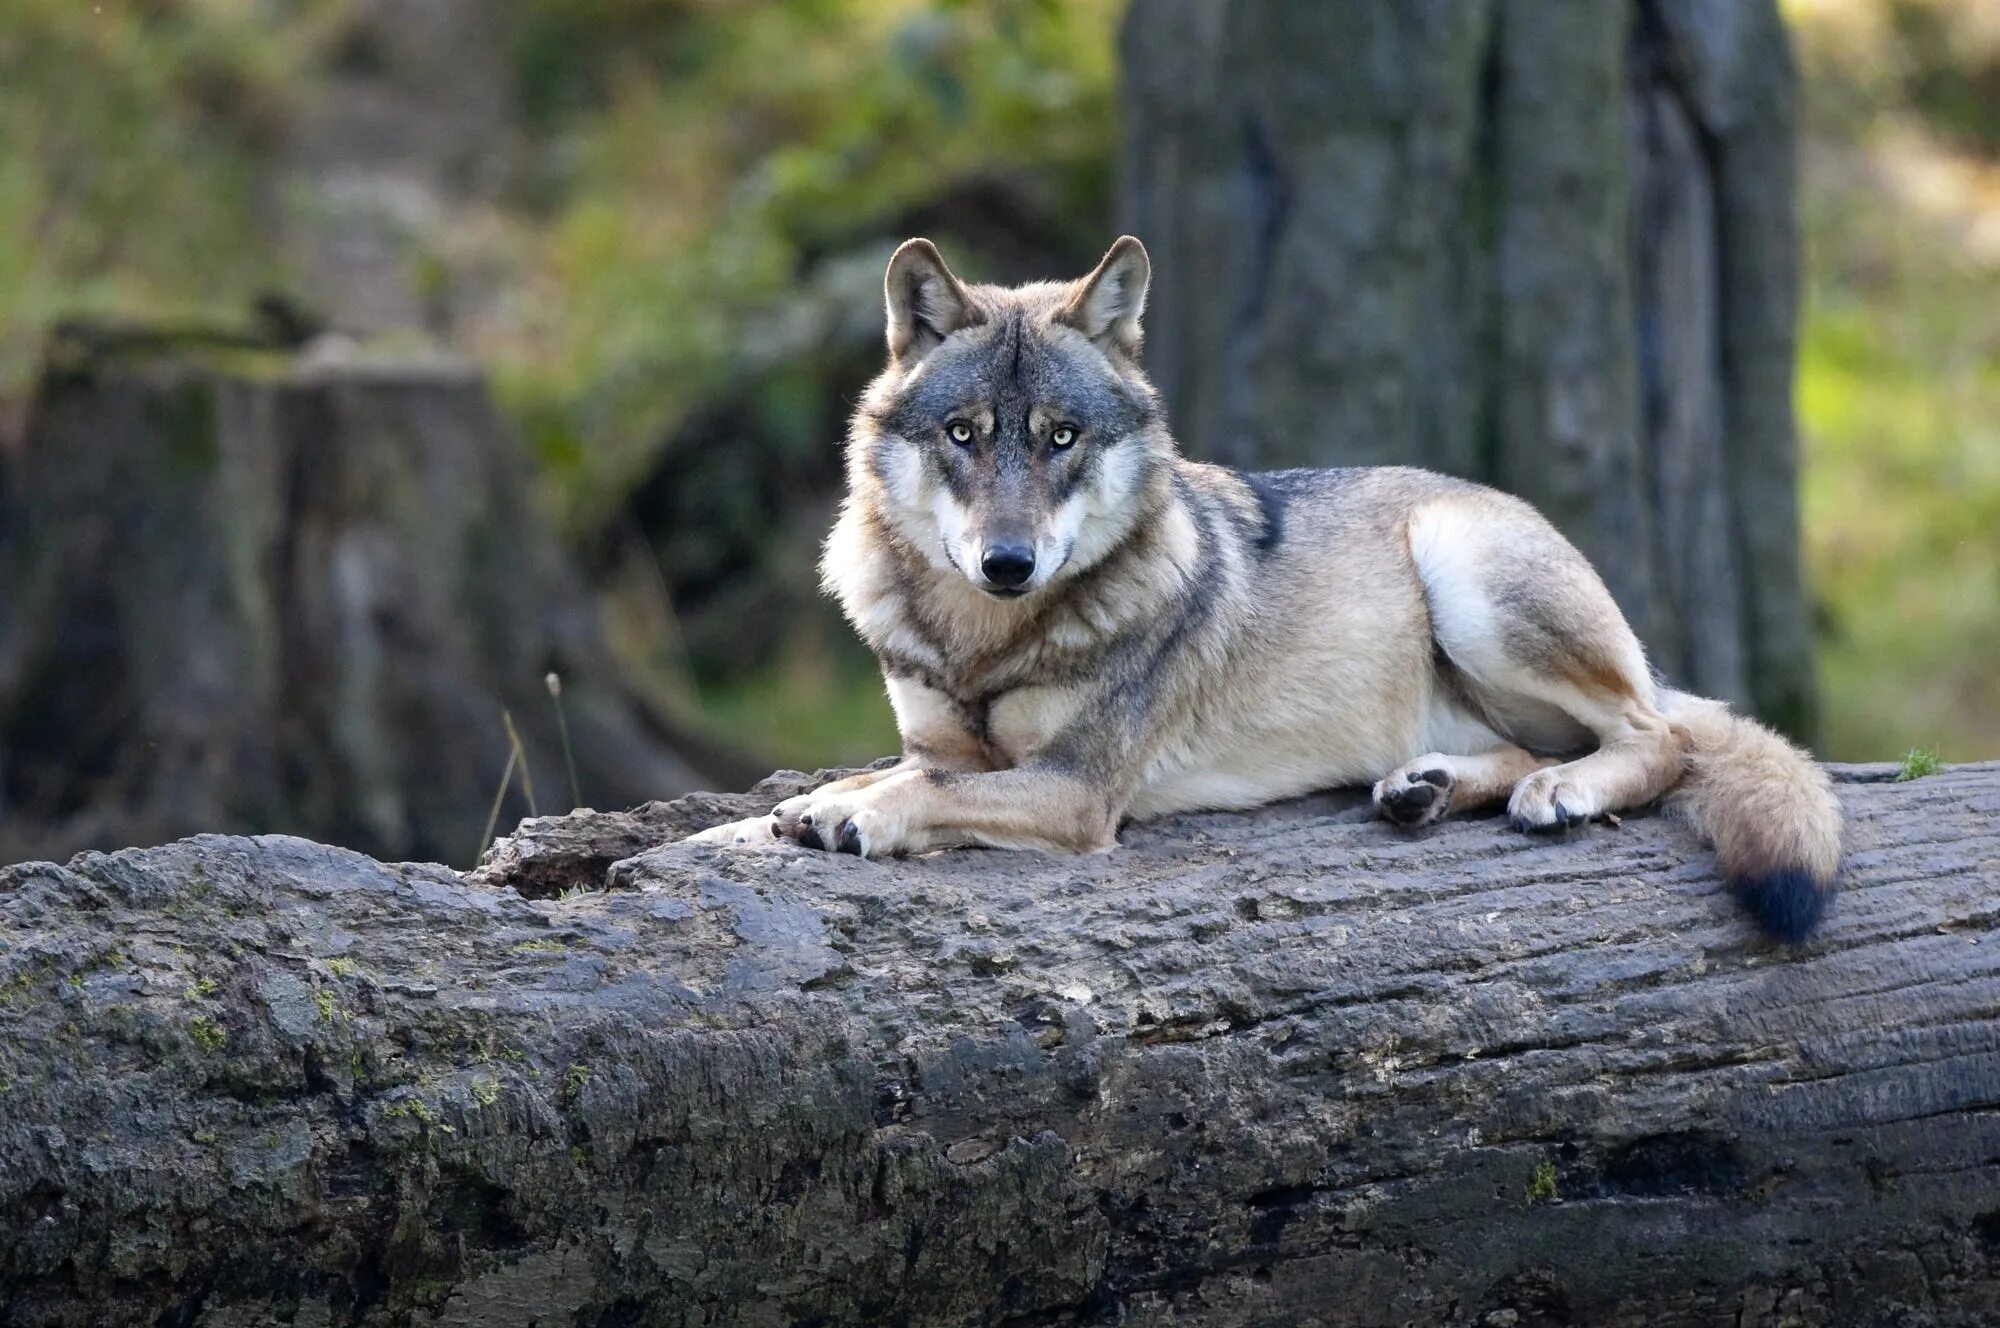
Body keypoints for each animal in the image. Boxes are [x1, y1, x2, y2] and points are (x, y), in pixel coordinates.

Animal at [688, 239, 1840, 944]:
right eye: (964, 435)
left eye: (1061, 437)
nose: (1006, 563)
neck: (984, 640)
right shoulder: (943, 740)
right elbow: (863, 781)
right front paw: (775, 819)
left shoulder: (1075, 790)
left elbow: (916, 791)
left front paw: (851, 816)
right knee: (1535, 749)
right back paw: (1425, 787)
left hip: (1468, 575)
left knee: (1661, 737)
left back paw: (1559, 791)